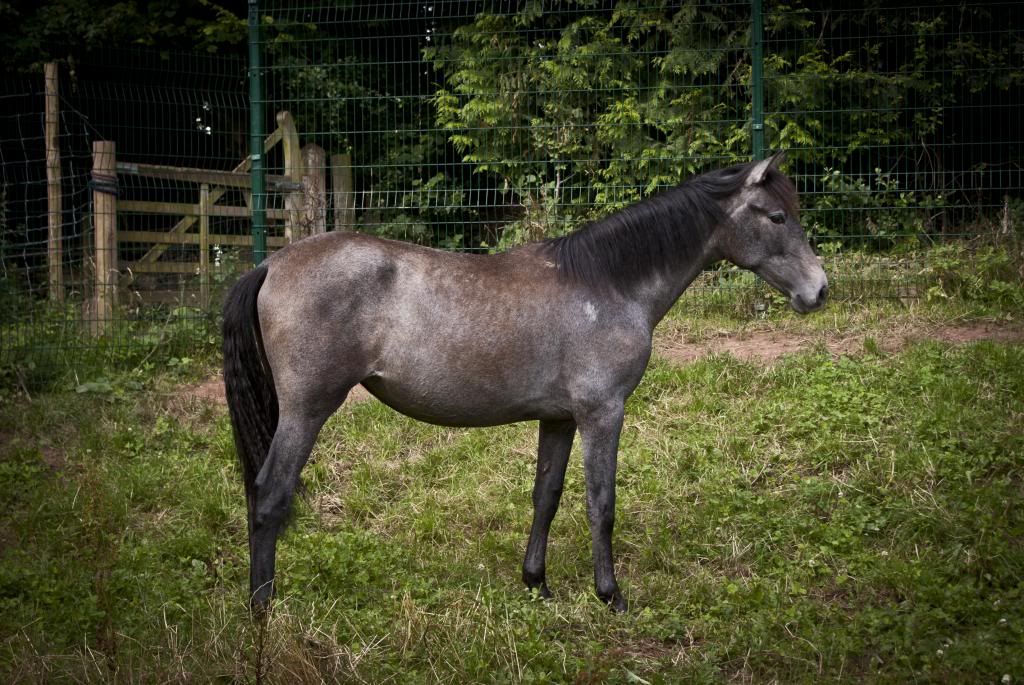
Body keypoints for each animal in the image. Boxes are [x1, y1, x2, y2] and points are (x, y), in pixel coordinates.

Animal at [222, 152, 823, 610]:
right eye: (776, 217)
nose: (819, 289)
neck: (607, 283)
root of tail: (272, 265)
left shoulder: (558, 418)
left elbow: (546, 496)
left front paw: (537, 583)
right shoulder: (602, 413)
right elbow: (601, 503)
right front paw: (611, 595)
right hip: (306, 410)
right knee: (269, 494)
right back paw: (262, 610)